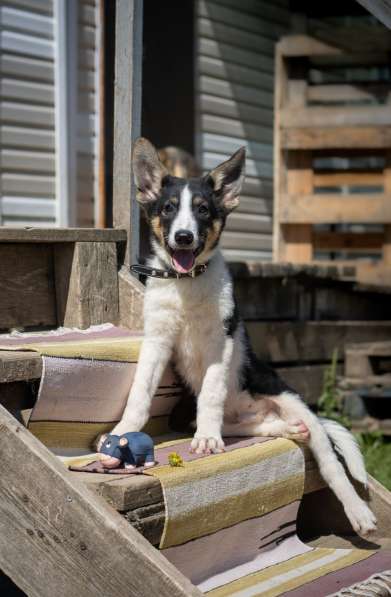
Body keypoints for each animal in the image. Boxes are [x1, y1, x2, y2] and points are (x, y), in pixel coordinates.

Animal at [112, 139, 378, 536]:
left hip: (289, 397)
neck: (187, 284)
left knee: (330, 462)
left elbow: (210, 393)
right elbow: (140, 393)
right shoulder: (157, 340)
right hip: (202, 417)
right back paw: (286, 428)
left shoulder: (220, 342)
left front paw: (207, 439)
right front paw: (124, 430)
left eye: (203, 210)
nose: (184, 237)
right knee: (244, 426)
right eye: (169, 208)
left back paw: (357, 510)